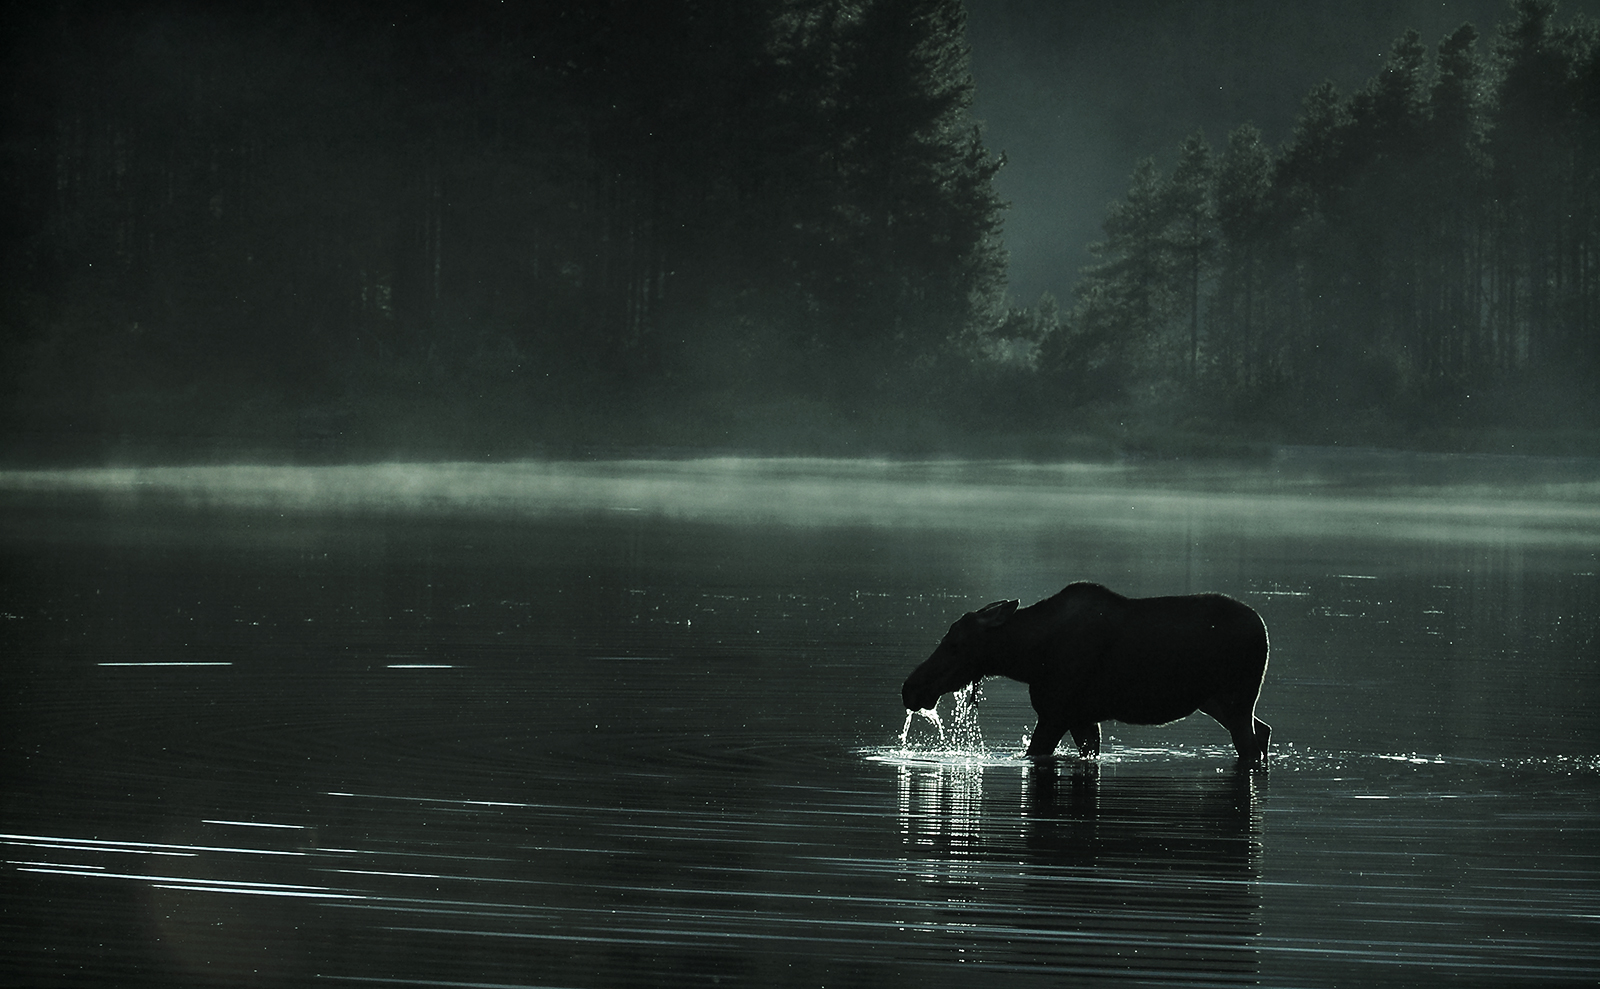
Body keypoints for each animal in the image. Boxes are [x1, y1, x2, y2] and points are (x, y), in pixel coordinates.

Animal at [908, 576, 1267, 761]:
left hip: (1236, 700)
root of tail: (1264, 631)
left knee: (1251, 744)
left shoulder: (1055, 713)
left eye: (955, 643)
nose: (911, 688)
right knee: (1263, 731)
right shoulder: (1081, 718)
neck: (1026, 659)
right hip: (1215, 702)